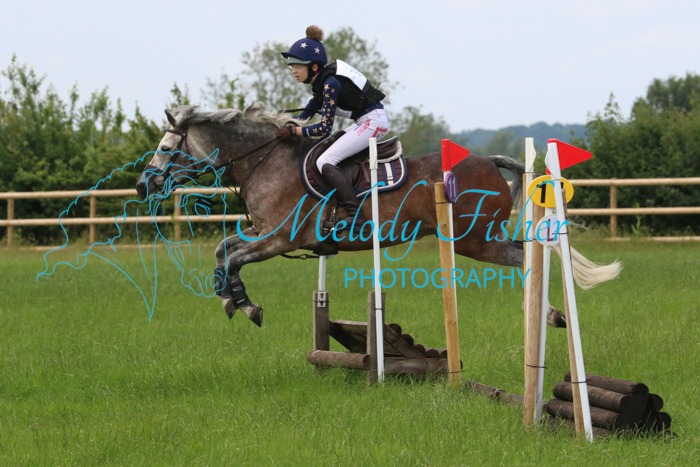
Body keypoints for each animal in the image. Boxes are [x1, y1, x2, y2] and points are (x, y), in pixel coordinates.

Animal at [136, 102, 621, 326]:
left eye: (167, 147)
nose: (144, 185)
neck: (265, 160)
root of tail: (488, 161)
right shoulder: (263, 232)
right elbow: (223, 250)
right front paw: (229, 299)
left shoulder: (281, 239)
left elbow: (234, 258)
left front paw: (247, 305)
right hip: (478, 240)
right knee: (529, 253)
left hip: (474, 241)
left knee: (527, 256)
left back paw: (550, 314)